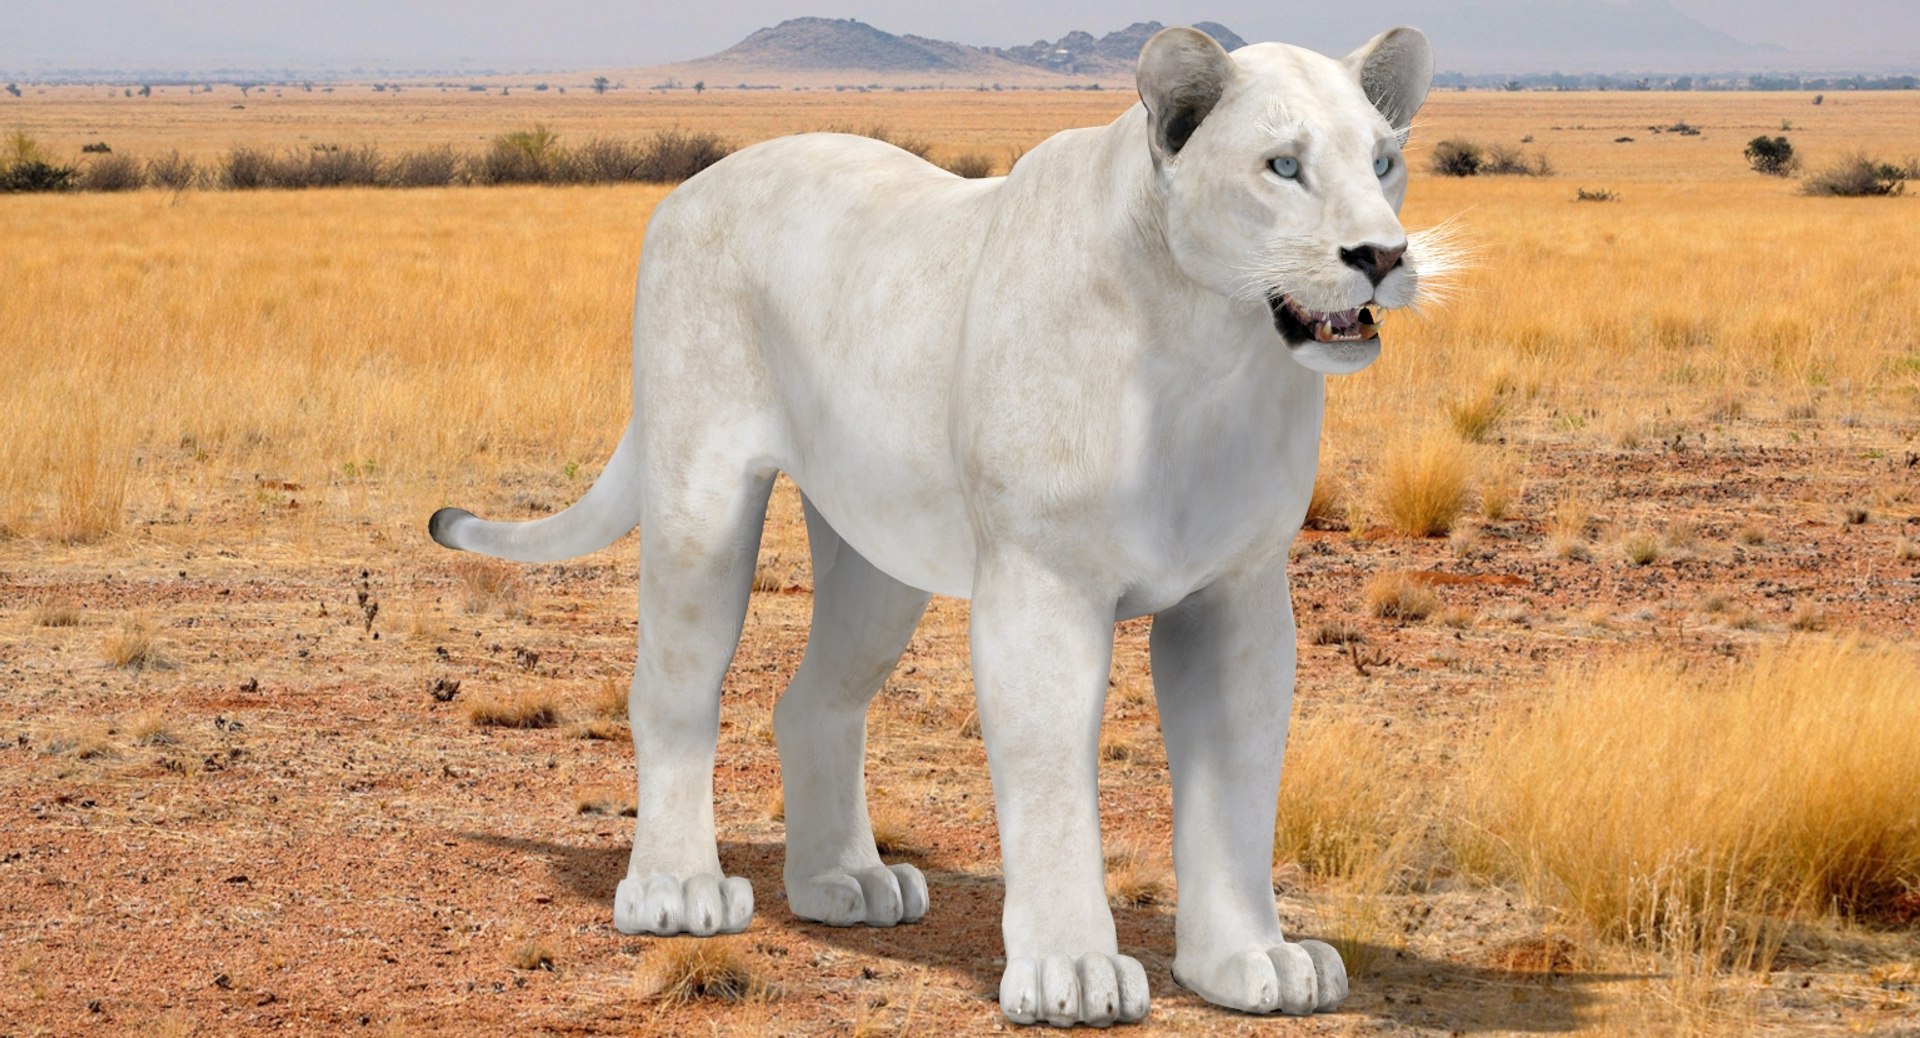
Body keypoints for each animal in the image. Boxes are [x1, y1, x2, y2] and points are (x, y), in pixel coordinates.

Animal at [430, 25, 1444, 1025]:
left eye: (1384, 161)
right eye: (1283, 166)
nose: (1382, 256)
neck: (1212, 352)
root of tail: (690, 186)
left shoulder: (1236, 595)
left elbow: (1235, 784)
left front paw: (1251, 963)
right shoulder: (1041, 586)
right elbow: (1049, 783)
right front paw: (1074, 973)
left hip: (876, 558)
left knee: (812, 702)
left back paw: (846, 882)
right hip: (699, 500)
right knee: (672, 690)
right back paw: (678, 892)